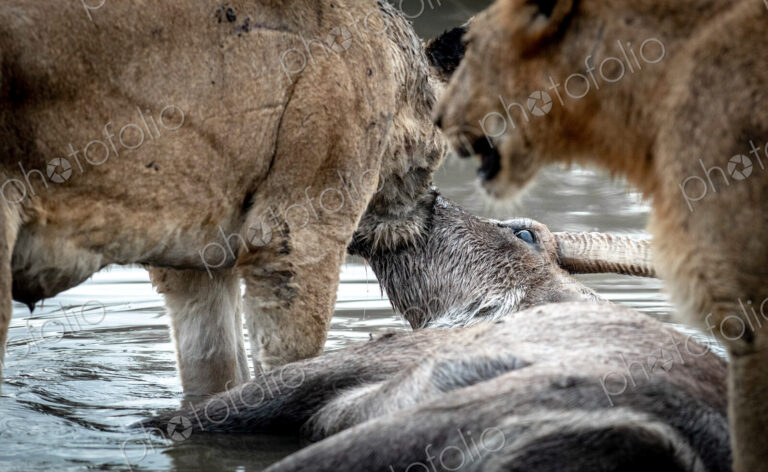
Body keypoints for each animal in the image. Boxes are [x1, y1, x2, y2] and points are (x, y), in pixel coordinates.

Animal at [0, 0, 448, 398]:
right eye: (435, 160)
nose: (433, 204)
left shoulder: (197, 264)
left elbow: (215, 366)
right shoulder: (300, 226)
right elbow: (293, 359)